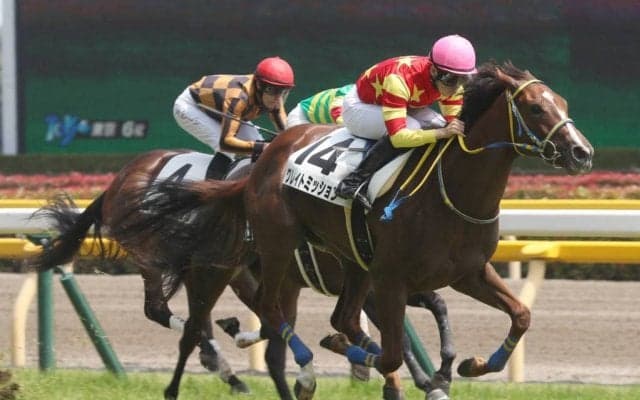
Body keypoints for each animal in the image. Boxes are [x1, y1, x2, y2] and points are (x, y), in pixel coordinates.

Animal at [30, 149, 455, 400]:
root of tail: (119, 179)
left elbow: (435, 306)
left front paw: (434, 373)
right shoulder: (367, 286)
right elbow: (396, 333)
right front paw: (419, 380)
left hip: (235, 272)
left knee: (254, 329)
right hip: (167, 259)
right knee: (166, 313)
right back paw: (219, 364)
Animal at [172, 61, 593, 399]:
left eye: (564, 104)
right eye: (536, 107)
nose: (582, 153)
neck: (453, 193)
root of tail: (264, 158)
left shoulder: (467, 273)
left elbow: (520, 315)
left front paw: (469, 366)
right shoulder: (391, 281)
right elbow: (393, 353)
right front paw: (415, 377)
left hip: (352, 262)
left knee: (335, 318)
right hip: (271, 249)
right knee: (257, 311)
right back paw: (301, 369)